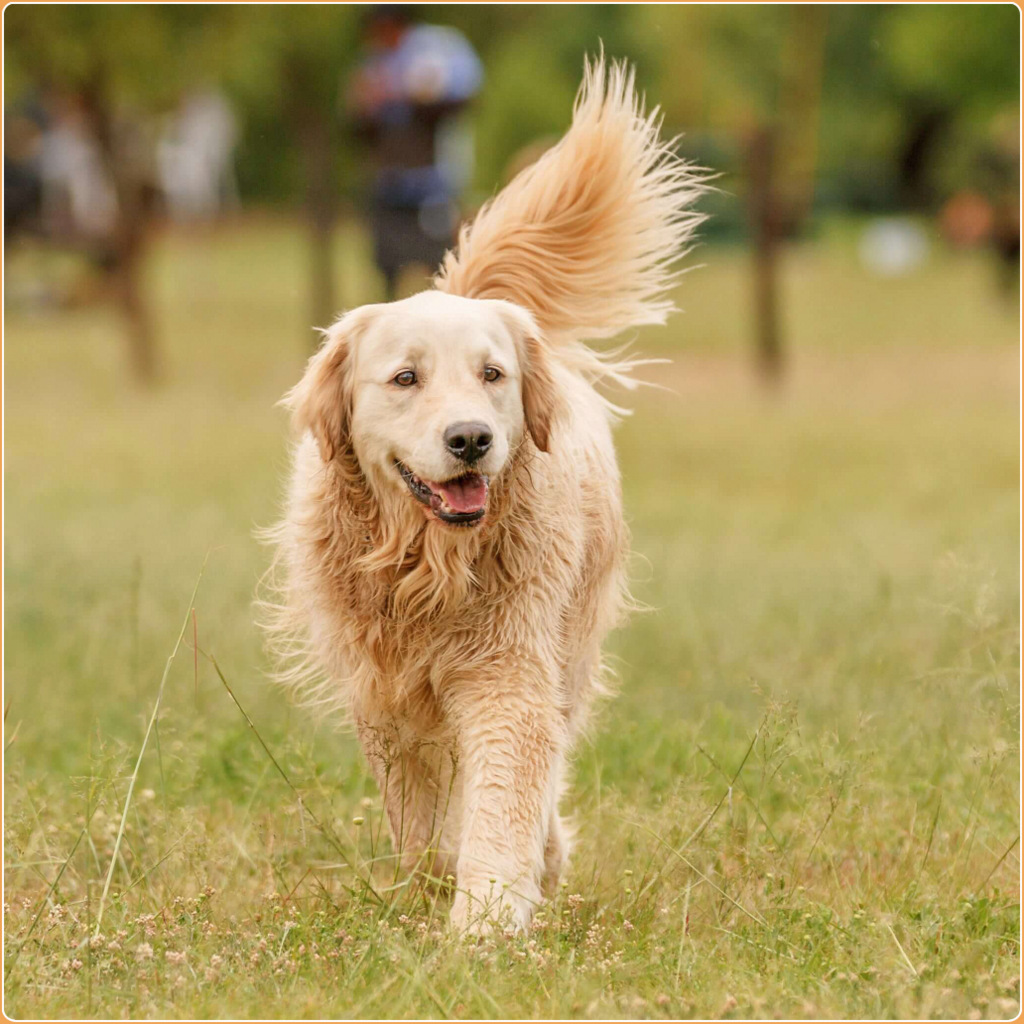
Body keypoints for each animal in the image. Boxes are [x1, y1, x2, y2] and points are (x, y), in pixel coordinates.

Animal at [262, 58, 704, 937]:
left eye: (492, 374)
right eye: (405, 378)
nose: (470, 439)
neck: (426, 561)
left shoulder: (507, 670)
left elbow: (503, 796)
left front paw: (489, 919)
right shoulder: (385, 691)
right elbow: (425, 821)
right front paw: (447, 890)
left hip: (572, 641)